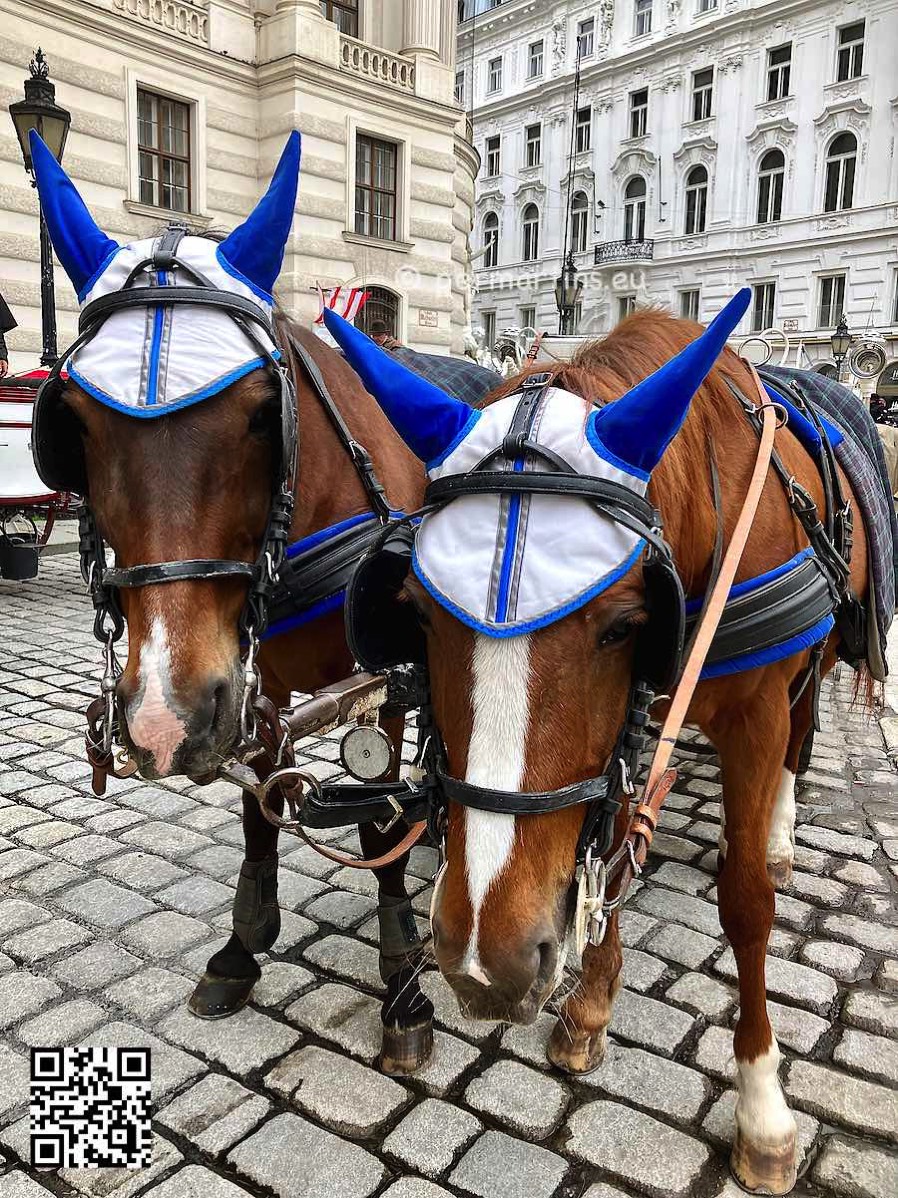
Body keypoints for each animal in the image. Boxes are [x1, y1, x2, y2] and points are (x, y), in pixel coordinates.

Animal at [28, 131, 435, 1072]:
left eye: (259, 414)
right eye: (72, 423)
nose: (160, 720)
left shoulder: (386, 685)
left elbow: (380, 818)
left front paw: (404, 985)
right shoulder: (252, 684)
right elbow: (258, 802)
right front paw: (243, 946)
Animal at [322, 293, 870, 1195]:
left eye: (621, 625)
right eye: (422, 614)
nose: (490, 962)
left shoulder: (754, 711)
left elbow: (745, 902)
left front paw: (762, 1105)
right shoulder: (633, 724)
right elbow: (607, 850)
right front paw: (589, 1006)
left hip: (814, 661)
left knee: (803, 731)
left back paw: (783, 833)